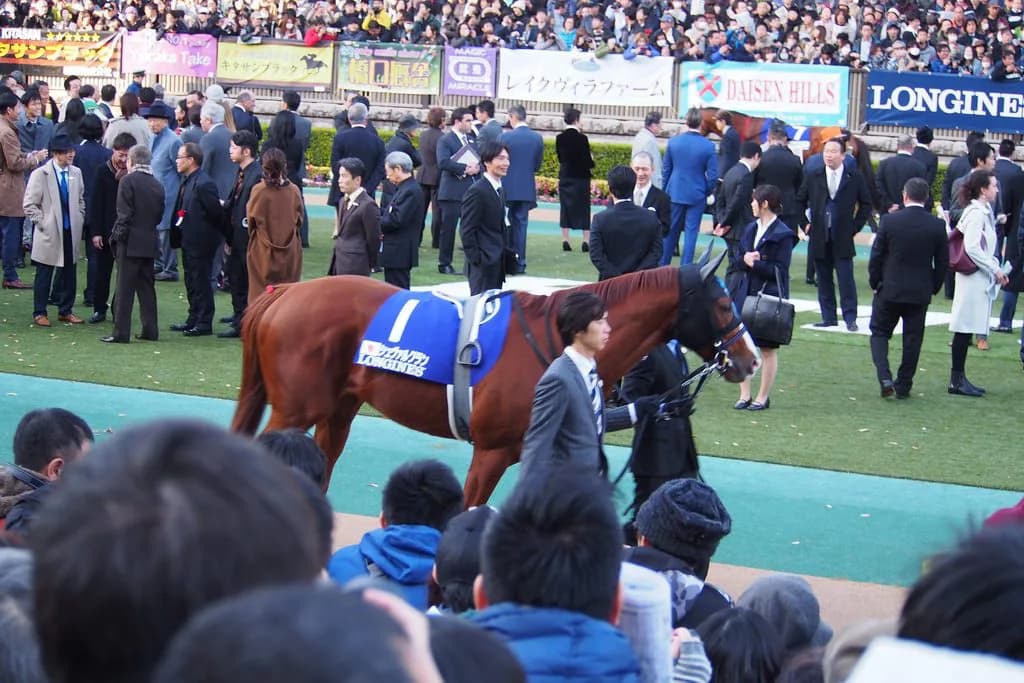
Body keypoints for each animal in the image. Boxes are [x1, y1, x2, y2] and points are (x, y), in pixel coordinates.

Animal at [231, 255, 761, 507]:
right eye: (722, 304)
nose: (750, 358)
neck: (556, 337)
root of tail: (284, 293)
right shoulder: (491, 451)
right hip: (294, 409)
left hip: (338, 410)